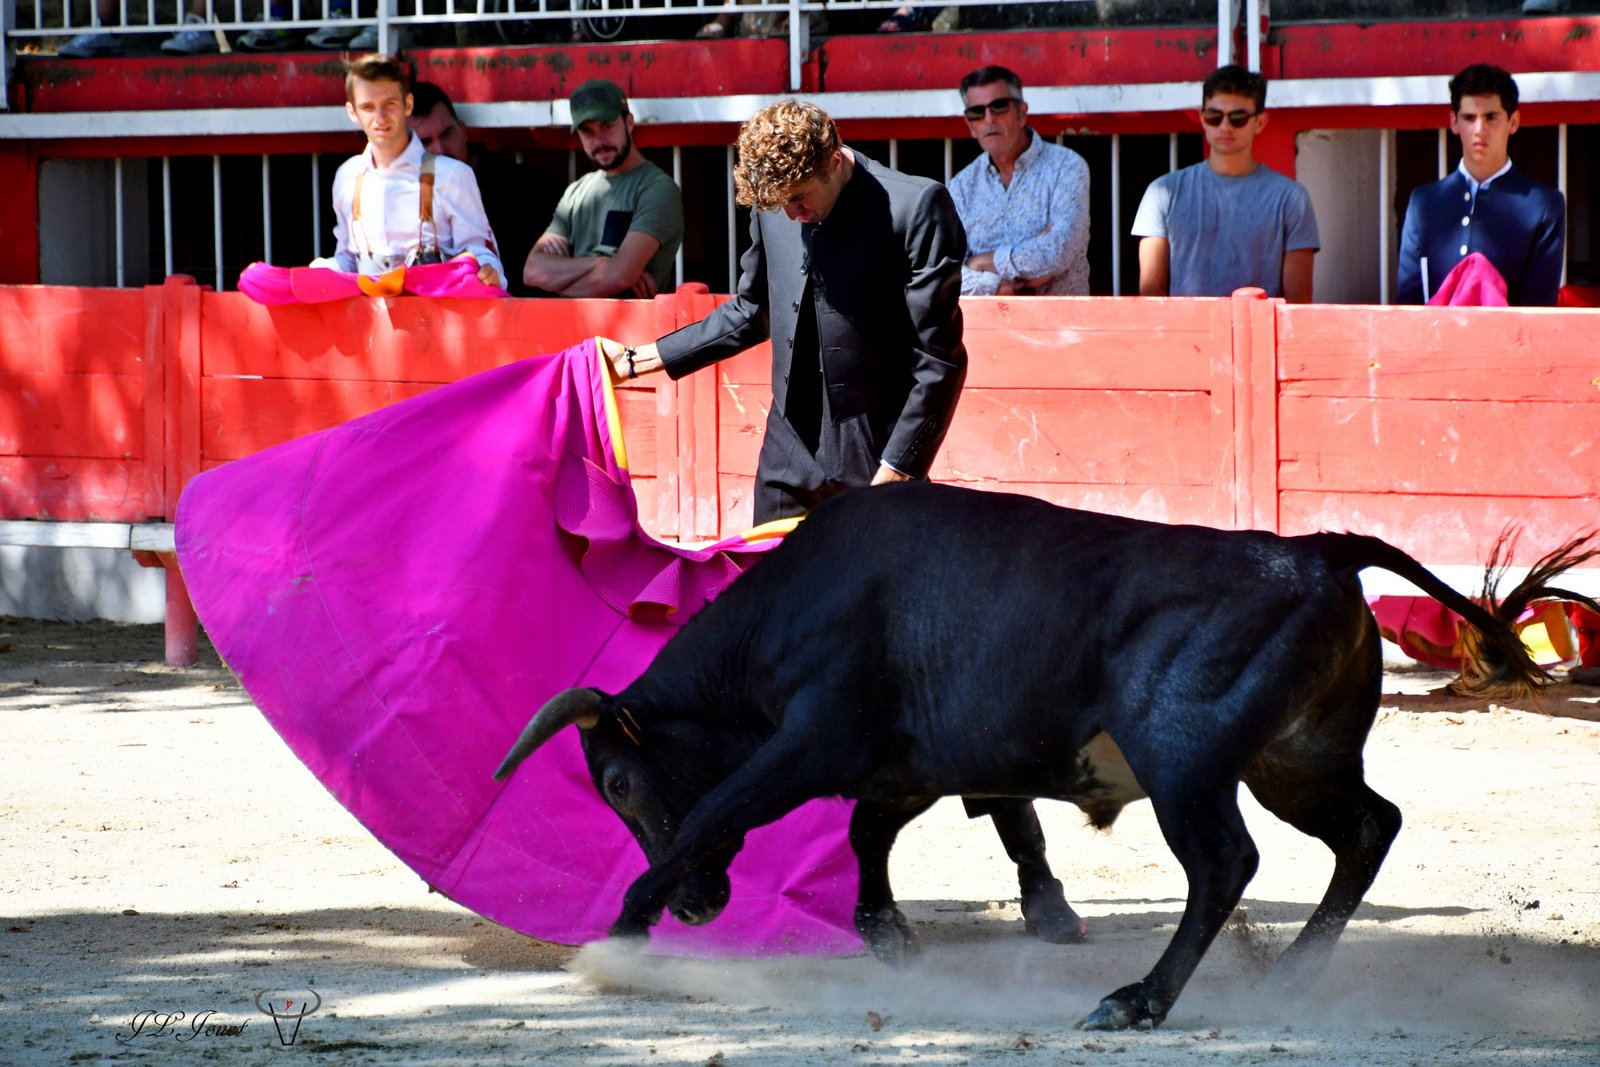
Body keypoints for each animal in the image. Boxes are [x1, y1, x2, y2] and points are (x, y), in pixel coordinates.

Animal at [496, 483, 1587, 1023]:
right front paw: (886, 935)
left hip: (1185, 758)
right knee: (1367, 826)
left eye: (620, 780)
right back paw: (1290, 977)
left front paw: (621, 934)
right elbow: (868, 833)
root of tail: (1317, 547)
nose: (696, 909)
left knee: (1225, 861)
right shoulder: (915, 761)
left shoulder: (814, 740)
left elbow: (725, 810)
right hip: (1294, 762)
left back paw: (1139, 1000)